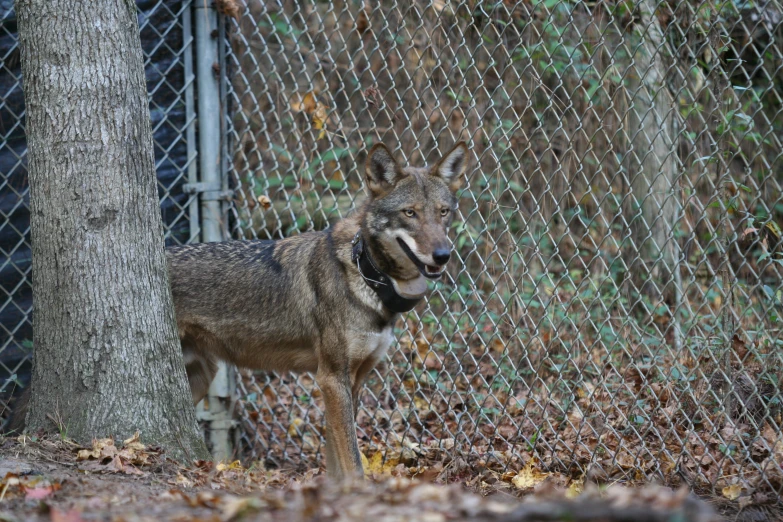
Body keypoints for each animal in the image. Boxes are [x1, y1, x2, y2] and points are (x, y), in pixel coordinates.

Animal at [9, 140, 468, 478]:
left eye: (443, 212)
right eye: (410, 213)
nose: (444, 255)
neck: (366, 274)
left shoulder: (350, 382)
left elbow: (336, 455)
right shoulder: (330, 378)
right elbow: (351, 459)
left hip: (199, 378)